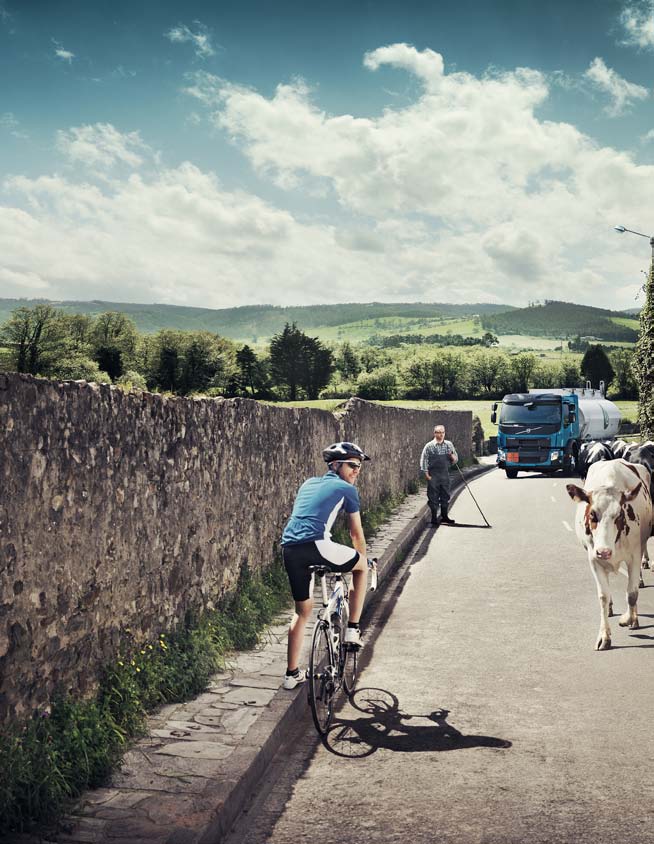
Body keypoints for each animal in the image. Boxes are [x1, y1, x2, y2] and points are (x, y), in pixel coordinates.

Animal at [568, 458, 652, 648]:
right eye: (592, 514)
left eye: (619, 515)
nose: (604, 552)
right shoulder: (594, 560)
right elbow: (603, 597)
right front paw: (604, 636)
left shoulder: (634, 556)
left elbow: (632, 594)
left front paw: (628, 619)